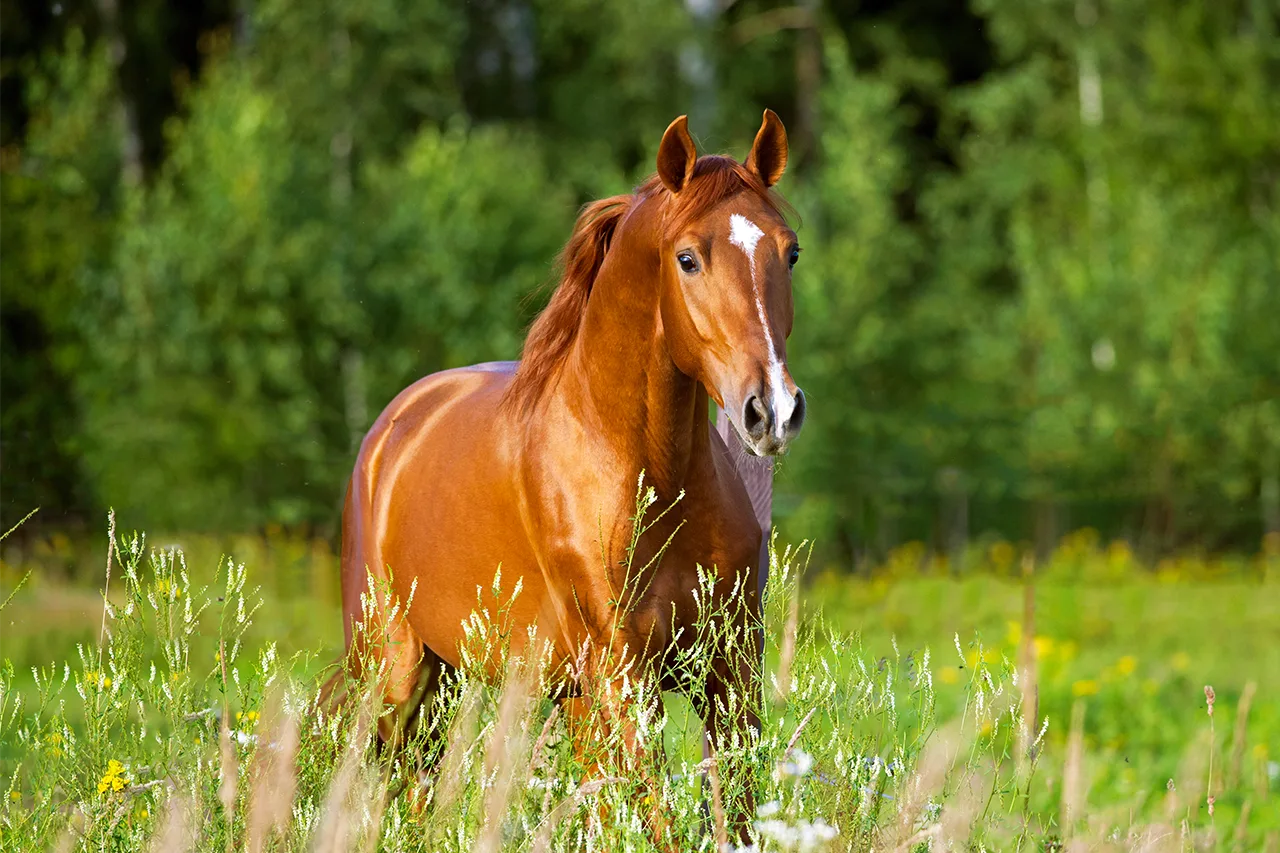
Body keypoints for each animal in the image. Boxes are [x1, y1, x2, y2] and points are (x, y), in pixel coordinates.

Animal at [333, 109, 806, 841]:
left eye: (790, 252)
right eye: (688, 258)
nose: (772, 410)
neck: (651, 482)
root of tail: (395, 425)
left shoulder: (728, 674)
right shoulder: (622, 678)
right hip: (395, 670)